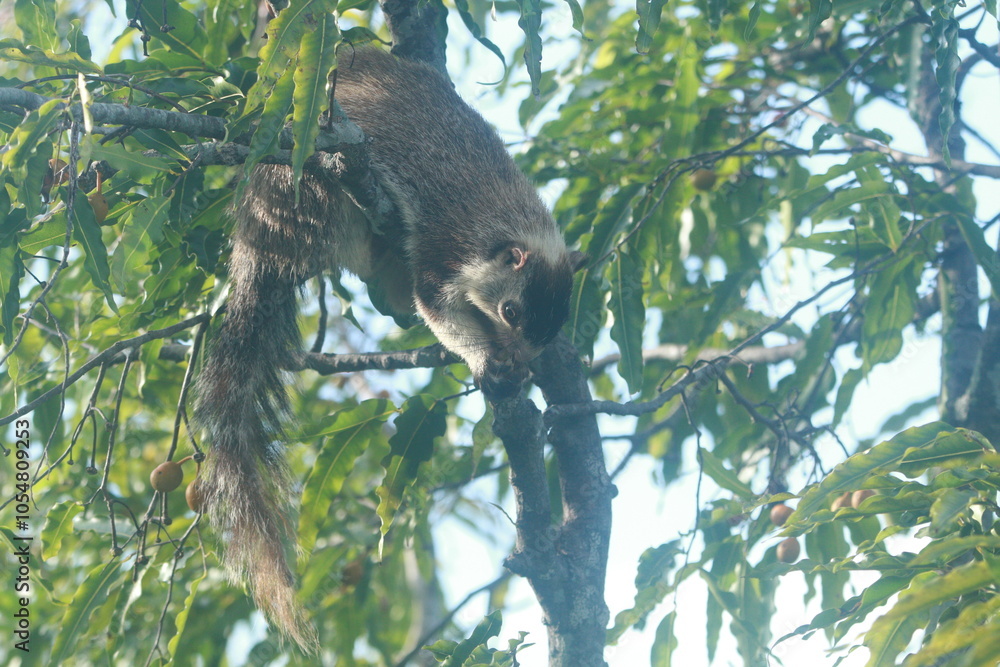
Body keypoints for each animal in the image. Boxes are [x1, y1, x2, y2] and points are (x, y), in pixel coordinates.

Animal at [195, 47, 582, 649]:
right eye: (512, 312)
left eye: (548, 332)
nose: (521, 361)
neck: (509, 221)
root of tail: (256, 236)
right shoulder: (446, 252)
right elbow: (437, 307)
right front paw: (488, 363)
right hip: (311, 185)